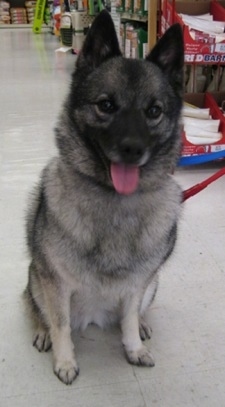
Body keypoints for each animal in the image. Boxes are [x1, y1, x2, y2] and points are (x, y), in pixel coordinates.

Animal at [24, 10, 184, 386]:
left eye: (153, 111)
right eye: (106, 105)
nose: (132, 149)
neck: (116, 202)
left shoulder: (138, 283)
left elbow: (128, 318)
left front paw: (133, 346)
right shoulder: (55, 283)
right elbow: (60, 325)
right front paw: (64, 361)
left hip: (153, 284)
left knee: (133, 313)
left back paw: (142, 325)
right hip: (35, 276)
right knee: (38, 310)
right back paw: (42, 332)